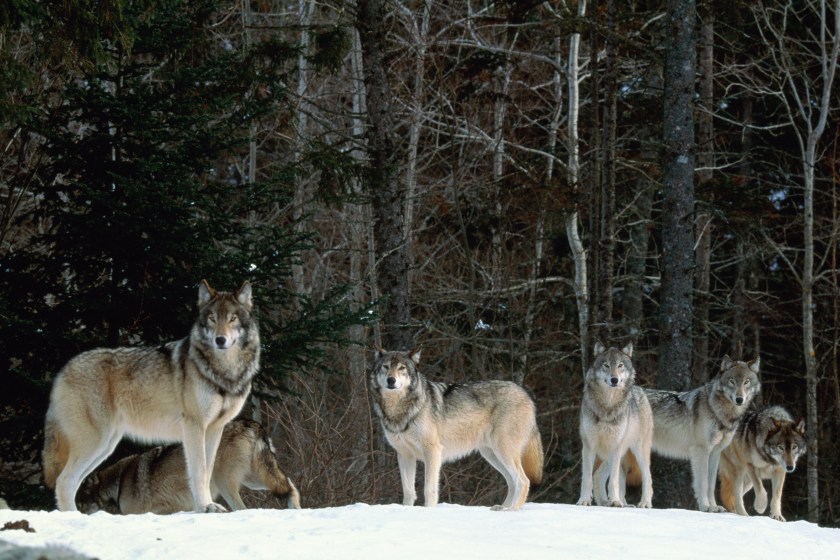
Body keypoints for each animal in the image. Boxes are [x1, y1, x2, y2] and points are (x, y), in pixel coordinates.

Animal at [42, 280, 260, 513]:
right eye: (212, 319)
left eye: (232, 319)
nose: (220, 340)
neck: (223, 372)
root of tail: (63, 371)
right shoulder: (194, 427)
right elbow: (199, 472)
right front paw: (205, 507)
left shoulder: (214, 429)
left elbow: (207, 470)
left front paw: (205, 506)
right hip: (94, 443)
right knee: (64, 481)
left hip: (106, 446)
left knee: (73, 482)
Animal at [76, 418, 301, 514]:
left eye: (80, 504)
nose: (76, 513)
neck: (118, 484)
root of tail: (253, 424)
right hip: (255, 480)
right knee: (291, 485)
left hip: (224, 482)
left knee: (242, 508)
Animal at [370, 348, 543, 511]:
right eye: (386, 367)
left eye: (401, 368)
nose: (391, 380)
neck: (399, 410)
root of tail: (526, 395)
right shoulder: (404, 455)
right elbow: (408, 491)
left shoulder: (432, 451)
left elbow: (429, 489)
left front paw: (428, 511)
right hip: (492, 455)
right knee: (511, 482)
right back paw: (502, 508)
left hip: (503, 451)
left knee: (523, 480)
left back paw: (512, 510)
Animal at [577, 342, 653, 508]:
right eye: (606, 365)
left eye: (620, 365)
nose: (614, 380)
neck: (607, 405)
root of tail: (641, 390)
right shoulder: (589, 446)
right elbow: (587, 478)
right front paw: (584, 501)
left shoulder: (615, 447)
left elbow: (613, 481)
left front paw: (616, 501)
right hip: (611, 454)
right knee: (599, 476)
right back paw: (610, 503)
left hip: (637, 451)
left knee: (647, 477)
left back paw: (643, 503)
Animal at [643, 355, 760, 512]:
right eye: (732, 381)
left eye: (746, 382)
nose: (739, 399)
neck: (718, 411)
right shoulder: (701, 451)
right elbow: (703, 483)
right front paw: (705, 507)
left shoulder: (715, 453)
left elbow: (711, 484)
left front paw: (714, 507)